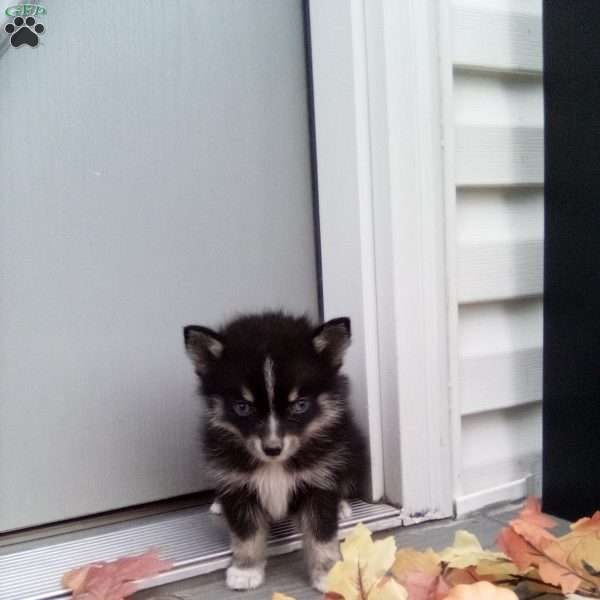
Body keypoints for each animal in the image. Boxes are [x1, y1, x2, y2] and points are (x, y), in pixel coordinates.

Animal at [182, 312, 366, 592]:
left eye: (300, 405)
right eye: (242, 407)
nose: (272, 449)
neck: (275, 465)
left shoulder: (319, 481)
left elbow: (321, 533)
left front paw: (328, 573)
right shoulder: (238, 485)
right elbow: (246, 533)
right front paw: (246, 569)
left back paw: (343, 504)